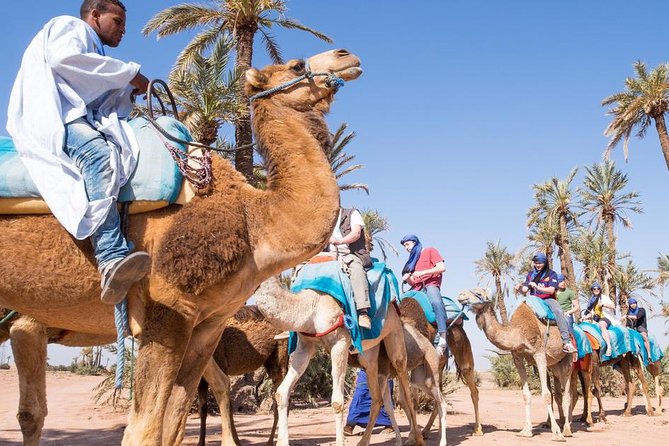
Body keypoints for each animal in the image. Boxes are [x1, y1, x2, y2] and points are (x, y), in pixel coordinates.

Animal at [0, 49, 361, 445]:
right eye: (296, 66)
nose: (345, 55)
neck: (253, 221)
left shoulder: (207, 325)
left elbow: (173, 420)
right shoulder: (167, 310)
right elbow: (142, 429)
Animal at [253, 274, 425, 446]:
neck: (312, 306)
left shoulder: (339, 343)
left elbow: (337, 402)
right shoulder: (305, 346)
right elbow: (281, 392)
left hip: (395, 337)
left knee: (406, 390)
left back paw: (417, 438)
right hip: (370, 357)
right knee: (377, 398)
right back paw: (365, 441)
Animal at [458, 289, 573, 441]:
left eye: (478, 292)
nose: (461, 295)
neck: (517, 333)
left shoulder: (539, 353)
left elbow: (546, 394)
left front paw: (556, 433)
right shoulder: (517, 357)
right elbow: (526, 395)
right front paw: (526, 431)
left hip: (568, 360)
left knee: (567, 393)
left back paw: (566, 430)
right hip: (554, 364)